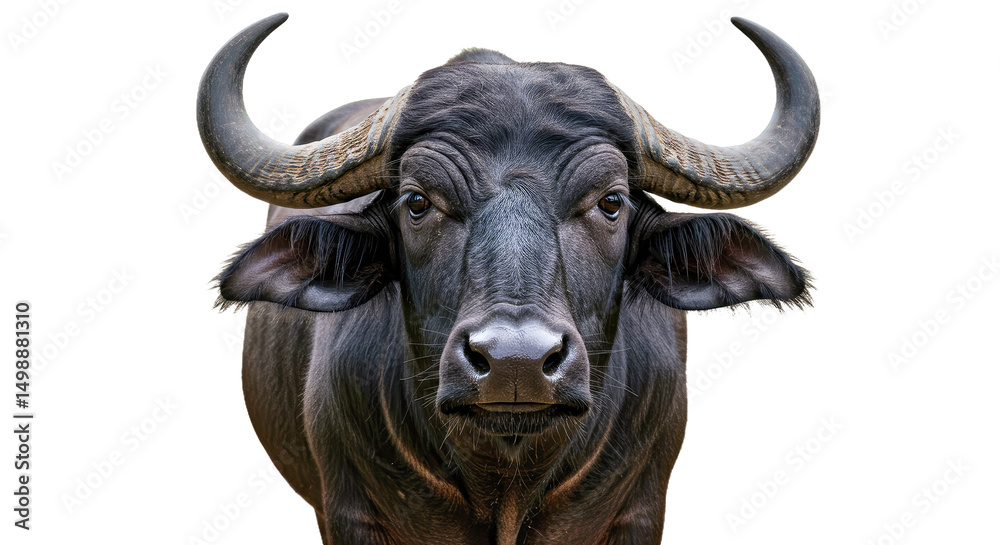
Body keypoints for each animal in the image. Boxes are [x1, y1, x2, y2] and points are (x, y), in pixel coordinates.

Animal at [198, 13, 818, 545]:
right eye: (417, 201)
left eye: (611, 202)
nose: (514, 362)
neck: (507, 480)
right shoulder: (347, 513)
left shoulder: (641, 510)